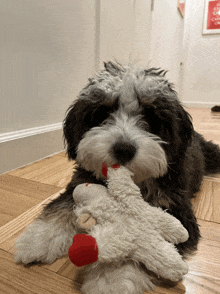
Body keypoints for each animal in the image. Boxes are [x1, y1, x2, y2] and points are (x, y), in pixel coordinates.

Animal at [15, 61, 220, 292]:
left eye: (151, 117)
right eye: (103, 112)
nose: (123, 149)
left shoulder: (177, 209)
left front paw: (111, 279)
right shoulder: (81, 182)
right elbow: (62, 206)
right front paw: (37, 239)